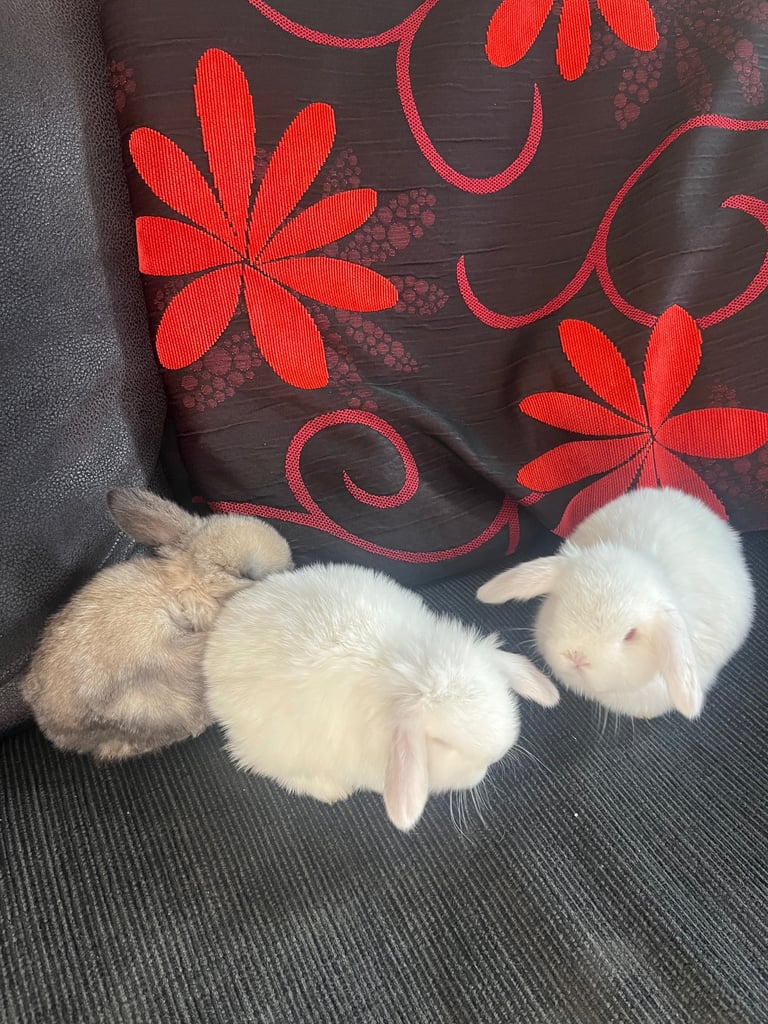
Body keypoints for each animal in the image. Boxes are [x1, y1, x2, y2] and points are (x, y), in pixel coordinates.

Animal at [204, 562, 560, 831]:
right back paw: (332, 791)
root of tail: (221, 633)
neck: (409, 669)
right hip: (271, 744)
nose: (497, 756)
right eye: (442, 743)